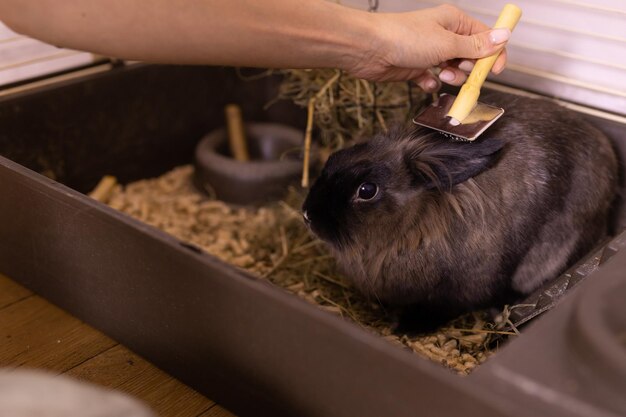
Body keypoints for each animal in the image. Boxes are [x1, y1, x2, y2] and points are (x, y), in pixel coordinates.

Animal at [300, 91, 616, 328]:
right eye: (335, 157)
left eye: (367, 191)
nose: (307, 215)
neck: (415, 224)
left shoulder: (455, 294)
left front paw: (404, 328)